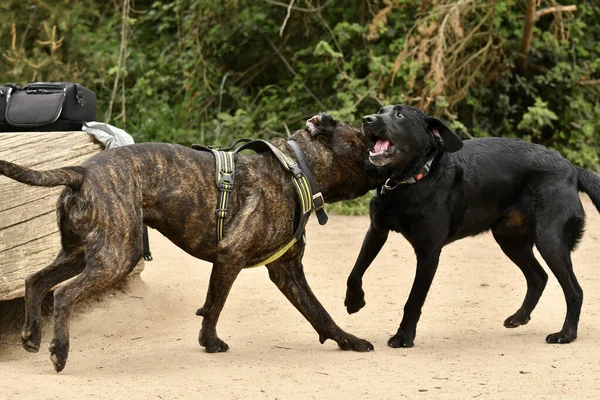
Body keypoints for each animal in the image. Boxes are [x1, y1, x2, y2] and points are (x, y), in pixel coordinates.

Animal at [1, 112, 380, 372]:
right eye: (364, 143)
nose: (383, 158)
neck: (296, 170)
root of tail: (81, 172)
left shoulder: (287, 272)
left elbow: (320, 313)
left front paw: (349, 341)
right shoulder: (231, 257)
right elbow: (214, 306)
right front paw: (209, 342)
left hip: (81, 253)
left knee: (36, 281)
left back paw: (32, 336)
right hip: (117, 256)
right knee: (63, 294)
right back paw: (59, 349)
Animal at [344, 103, 600, 346]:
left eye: (400, 116)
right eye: (380, 111)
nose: (367, 119)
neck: (409, 181)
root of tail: (572, 169)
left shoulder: (428, 252)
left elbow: (414, 299)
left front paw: (403, 336)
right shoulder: (377, 230)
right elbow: (355, 272)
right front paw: (354, 301)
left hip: (550, 241)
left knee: (574, 290)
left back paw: (566, 334)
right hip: (510, 240)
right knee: (539, 277)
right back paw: (519, 317)